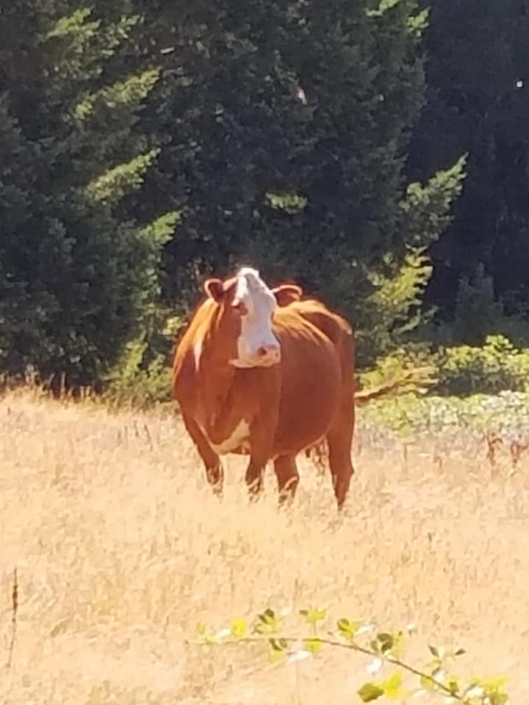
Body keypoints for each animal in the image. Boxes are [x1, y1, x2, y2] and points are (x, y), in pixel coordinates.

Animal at [172, 266, 356, 509]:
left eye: (272, 308)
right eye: (239, 306)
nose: (270, 349)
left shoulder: (264, 426)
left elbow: (253, 480)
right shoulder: (193, 427)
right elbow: (215, 475)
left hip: (343, 416)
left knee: (340, 473)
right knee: (289, 479)